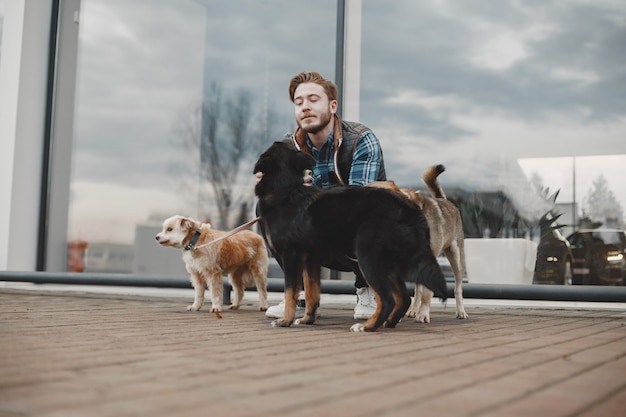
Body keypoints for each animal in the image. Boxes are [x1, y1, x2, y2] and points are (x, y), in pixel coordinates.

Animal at [251, 141, 446, 330]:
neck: (286, 190)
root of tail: (411, 208)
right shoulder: (311, 261)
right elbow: (312, 293)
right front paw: (307, 319)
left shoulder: (292, 257)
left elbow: (290, 292)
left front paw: (286, 320)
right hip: (387, 264)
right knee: (403, 298)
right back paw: (388, 323)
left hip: (368, 259)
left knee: (388, 299)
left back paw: (368, 326)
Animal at [368, 164, 466, 324]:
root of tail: (444, 200)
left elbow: (427, 293)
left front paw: (424, 314)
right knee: (418, 289)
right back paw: (413, 310)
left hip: (457, 258)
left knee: (457, 288)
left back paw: (461, 311)